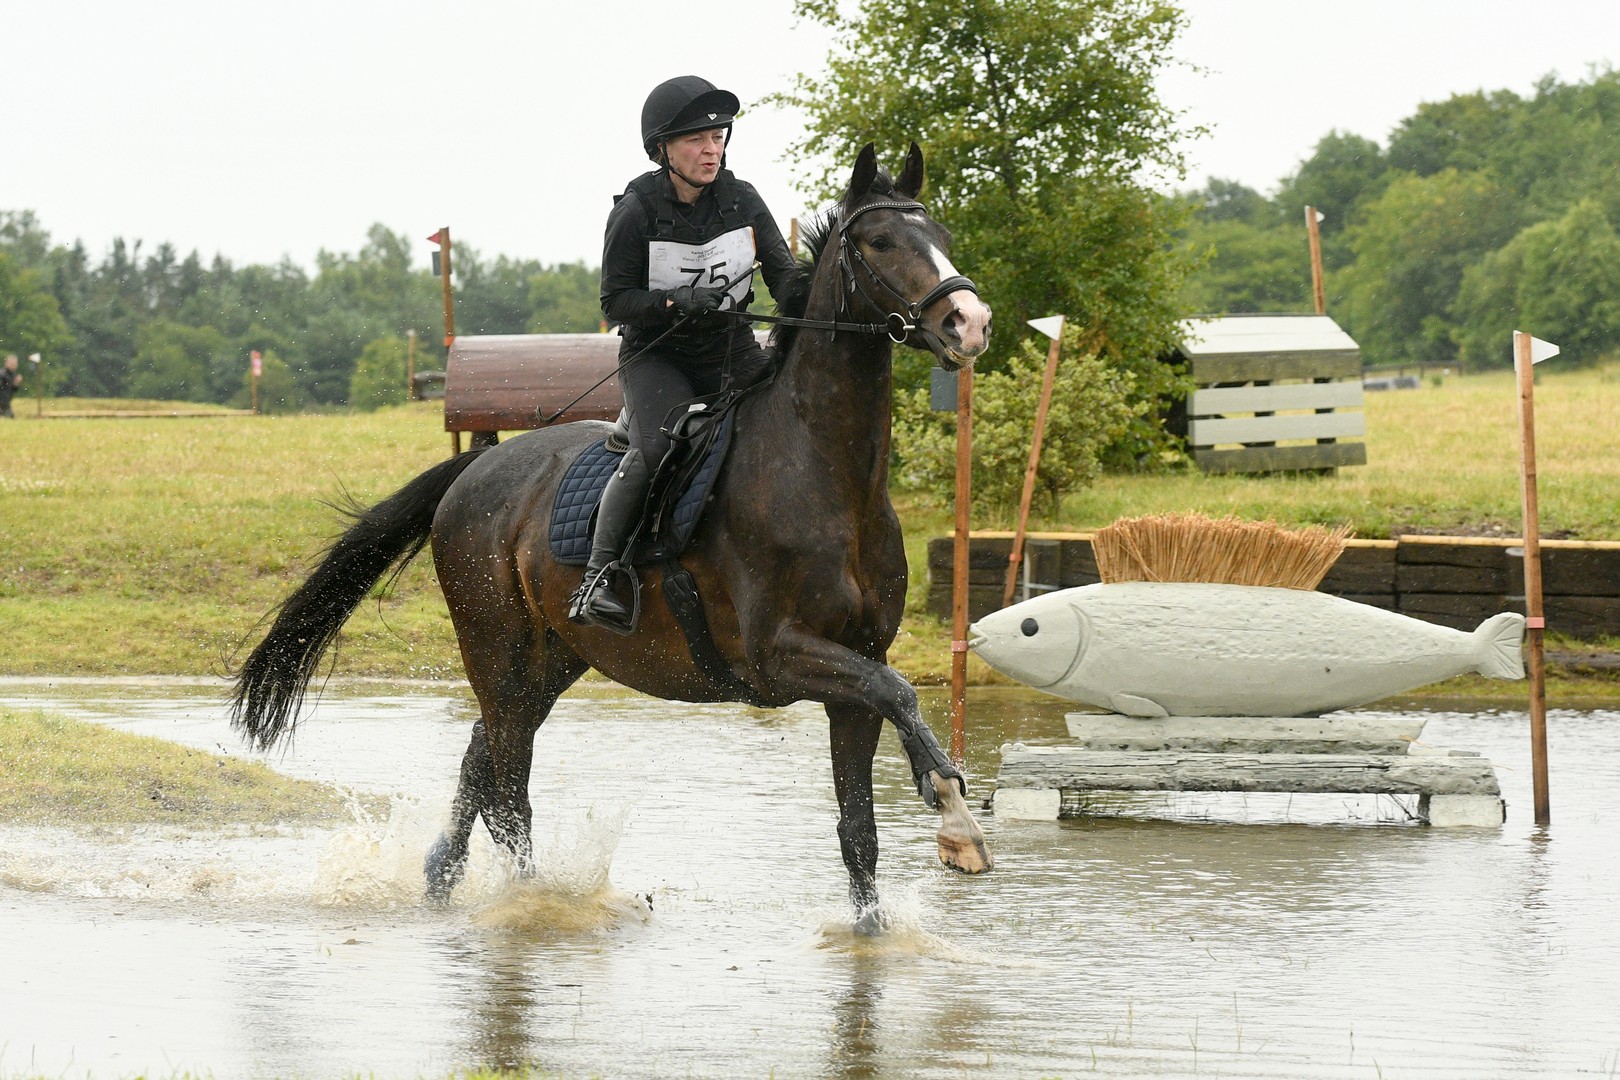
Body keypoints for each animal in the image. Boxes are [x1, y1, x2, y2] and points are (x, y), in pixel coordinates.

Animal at [230, 142, 994, 932]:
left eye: (940, 233)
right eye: (880, 242)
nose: (970, 323)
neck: (828, 477)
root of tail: (477, 466)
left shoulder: (855, 664)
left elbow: (861, 820)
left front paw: (883, 917)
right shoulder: (780, 656)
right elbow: (900, 694)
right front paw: (956, 820)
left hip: (554, 656)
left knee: (483, 757)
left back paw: (444, 877)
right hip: (497, 649)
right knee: (508, 783)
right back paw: (530, 900)